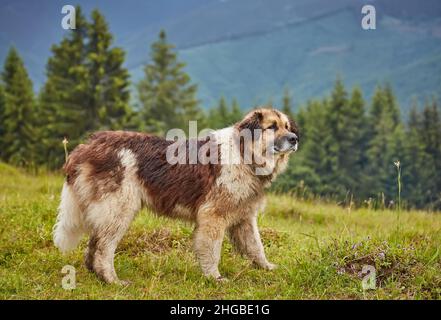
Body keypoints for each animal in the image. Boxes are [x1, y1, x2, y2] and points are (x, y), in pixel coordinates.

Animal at [53, 108, 298, 284]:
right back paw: (112, 281)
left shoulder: (245, 217)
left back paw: (98, 277)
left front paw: (268, 268)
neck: (243, 153)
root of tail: (87, 145)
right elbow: (212, 251)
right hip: (119, 210)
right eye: (272, 127)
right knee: (103, 249)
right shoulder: (213, 217)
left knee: (94, 246)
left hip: (110, 212)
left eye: (286, 126)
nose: (294, 138)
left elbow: (256, 247)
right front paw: (215, 278)